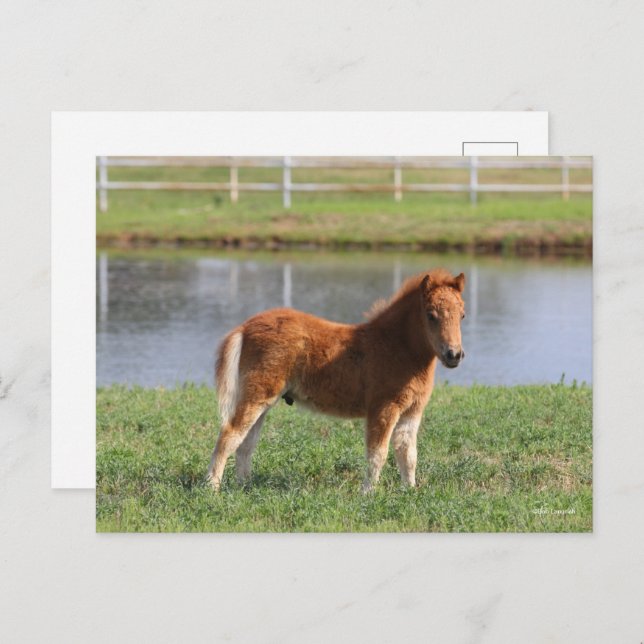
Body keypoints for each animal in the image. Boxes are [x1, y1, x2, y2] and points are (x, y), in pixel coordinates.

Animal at [207, 268, 466, 492]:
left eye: (462, 315)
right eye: (431, 315)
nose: (454, 355)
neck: (396, 347)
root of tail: (245, 326)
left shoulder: (412, 411)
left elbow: (408, 453)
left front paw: (410, 491)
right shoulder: (383, 409)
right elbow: (377, 453)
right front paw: (368, 493)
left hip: (263, 400)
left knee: (246, 444)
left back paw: (244, 487)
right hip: (257, 396)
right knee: (229, 435)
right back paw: (212, 488)